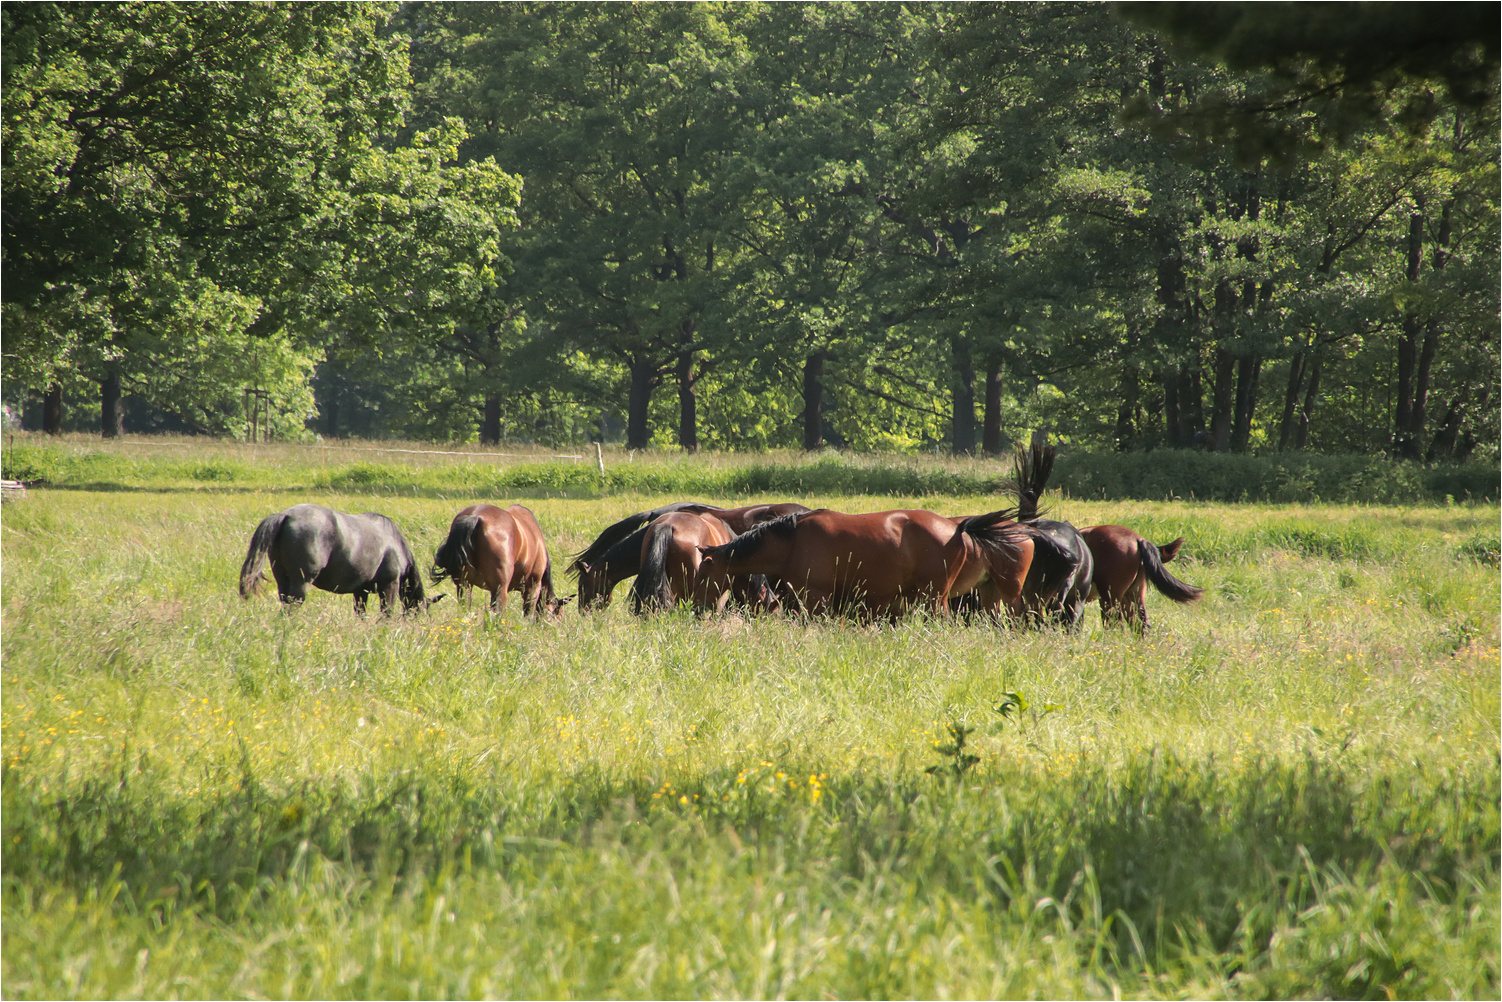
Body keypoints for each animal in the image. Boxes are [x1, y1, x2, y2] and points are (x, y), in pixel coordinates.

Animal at [235, 504, 435, 615]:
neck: (394, 544)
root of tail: (285, 515)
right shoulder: (389, 586)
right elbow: (387, 613)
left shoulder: (360, 591)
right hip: (301, 582)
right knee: (293, 605)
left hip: (282, 578)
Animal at [435, 501, 573, 618]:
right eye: (556, 615)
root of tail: (475, 517)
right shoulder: (533, 585)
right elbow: (529, 613)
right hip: (500, 588)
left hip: (464, 585)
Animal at [696, 510, 1027, 618]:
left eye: (704, 573)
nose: (697, 609)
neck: (792, 541)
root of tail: (958, 529)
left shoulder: (817, 597)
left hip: (935, 597)